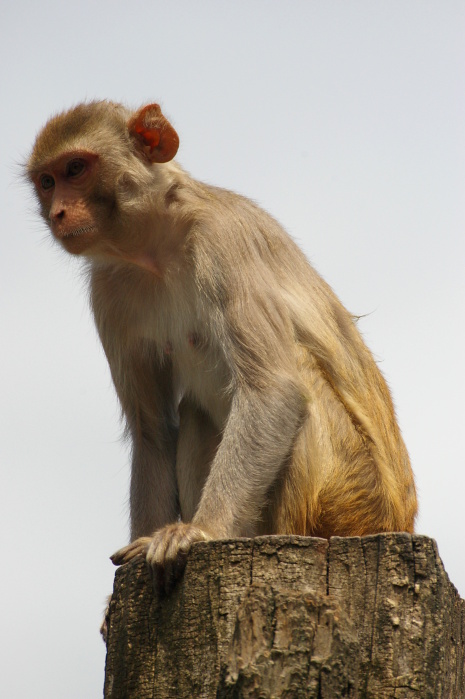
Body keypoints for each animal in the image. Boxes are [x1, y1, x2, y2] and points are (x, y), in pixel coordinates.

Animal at [26, 101, 416, 596]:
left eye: (75, 169)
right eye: (47, 181)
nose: (58, 211)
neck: (157, 247)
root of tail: (395, 523)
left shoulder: (223, 240)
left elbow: (274, 391)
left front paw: (200, 532)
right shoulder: (109, 290)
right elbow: (152, 430)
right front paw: (145, 542)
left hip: (348, 495)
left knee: (297, 377)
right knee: (194, 411)